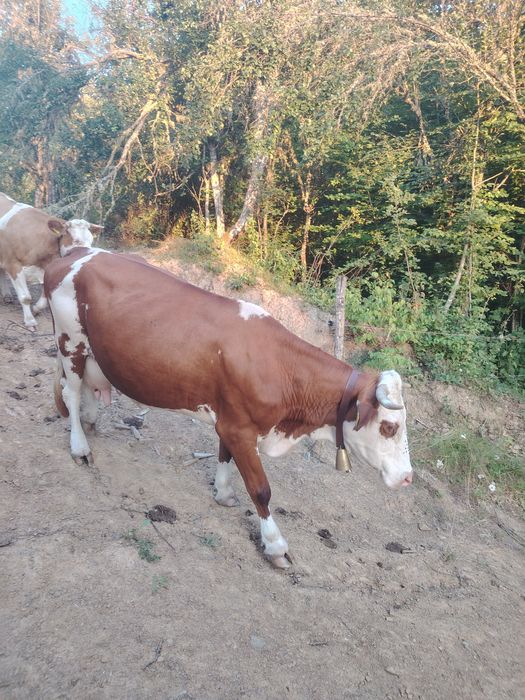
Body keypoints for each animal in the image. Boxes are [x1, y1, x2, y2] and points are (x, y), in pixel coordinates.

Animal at [0, 193, 103, 329]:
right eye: (76, 240)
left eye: (91, 240)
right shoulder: (13, 263)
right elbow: (25, 297)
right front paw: (29, 321)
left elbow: (44, 297)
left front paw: (36, 309)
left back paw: (7, 296)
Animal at [44, 247, 413, 568]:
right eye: (389, 427)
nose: (408, 478)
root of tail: (79, 253)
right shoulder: (240, 428)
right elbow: (261, 490)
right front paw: (276, 547)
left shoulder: (230, 418)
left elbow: (224, 455)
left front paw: (222, 492)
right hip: (70, 341)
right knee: (71, 392)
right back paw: (80, 447)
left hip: (90, 350)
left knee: (87, 388)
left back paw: (91, 421)